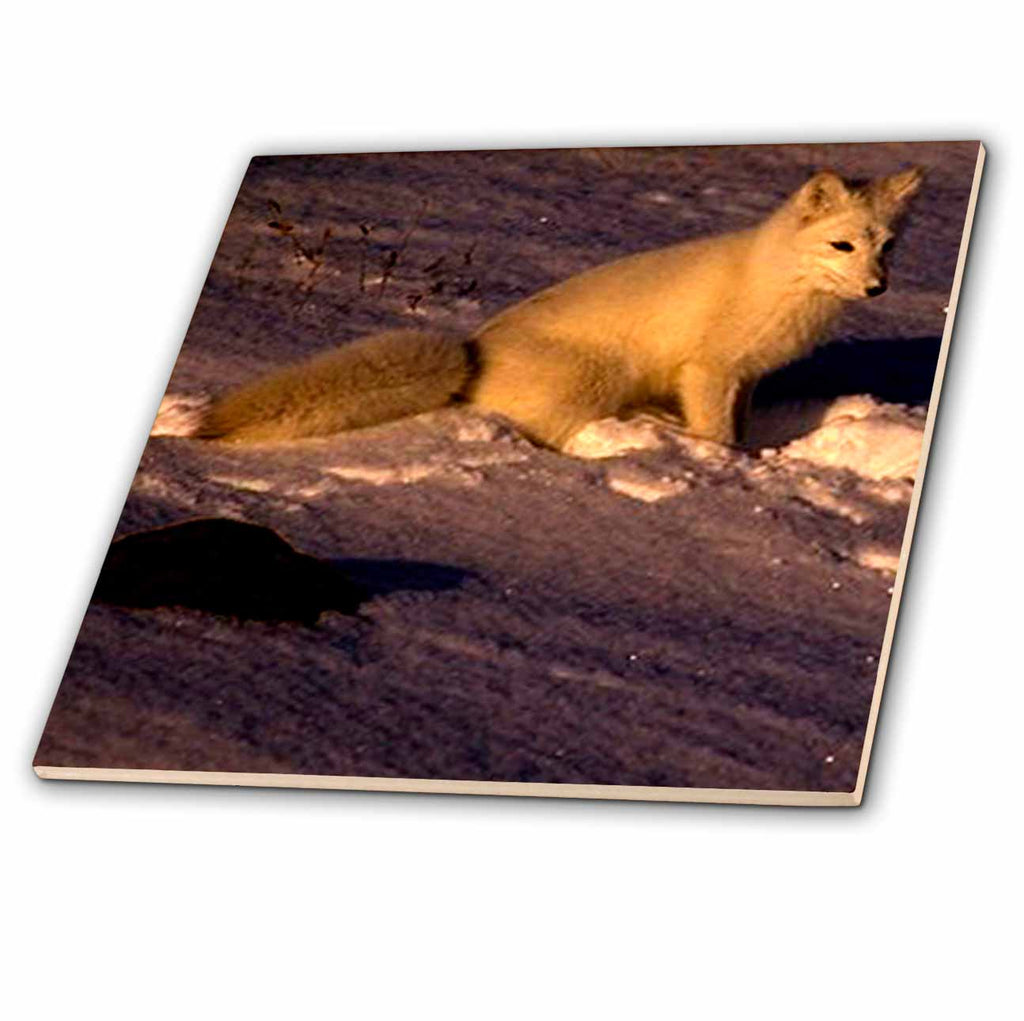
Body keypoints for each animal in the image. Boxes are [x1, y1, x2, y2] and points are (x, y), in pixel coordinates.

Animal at [194, 167, 923, 450]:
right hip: (596, 377)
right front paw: (721, 463)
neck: (777, 283)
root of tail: (473, 354)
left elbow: (738, 426)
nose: (878, 288)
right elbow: (717, 434)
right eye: (842, 244)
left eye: (888, 246)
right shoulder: (708, 369)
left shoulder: (744, 376)